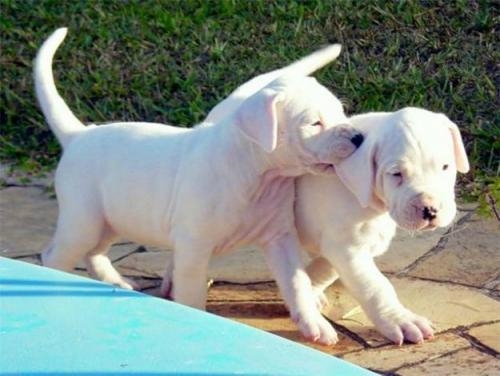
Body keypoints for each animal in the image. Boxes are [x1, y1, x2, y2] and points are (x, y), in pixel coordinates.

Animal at [36, 27, 364, 346]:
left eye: (340, 112)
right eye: (314, 123)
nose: (358, 137)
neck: (256, 173)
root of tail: (79, 136)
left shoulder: (280, 237)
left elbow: (297, 283)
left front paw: (315, 325)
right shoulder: (194, 246)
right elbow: (192, 295)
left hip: (111, 219)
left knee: (95, 252)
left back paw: (116, 282)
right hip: (83, 220)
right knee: (55, 256)